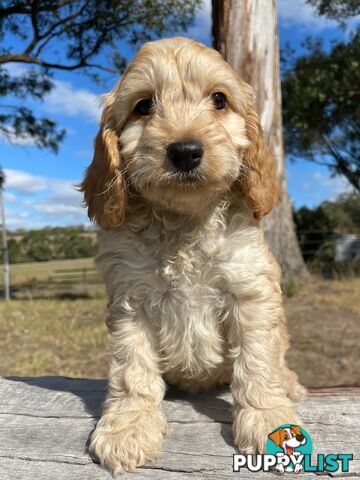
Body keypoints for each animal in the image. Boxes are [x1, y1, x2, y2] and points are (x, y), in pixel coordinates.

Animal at [80, 36, 306, 472]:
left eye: (219, 99)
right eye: (144, 105)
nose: (185, 151)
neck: (185, 220)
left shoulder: (248, 288)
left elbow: (258, 359)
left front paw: (268, 417)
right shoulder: (131, 300)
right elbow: (132, 369)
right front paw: (128, 426)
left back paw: (288, 383)